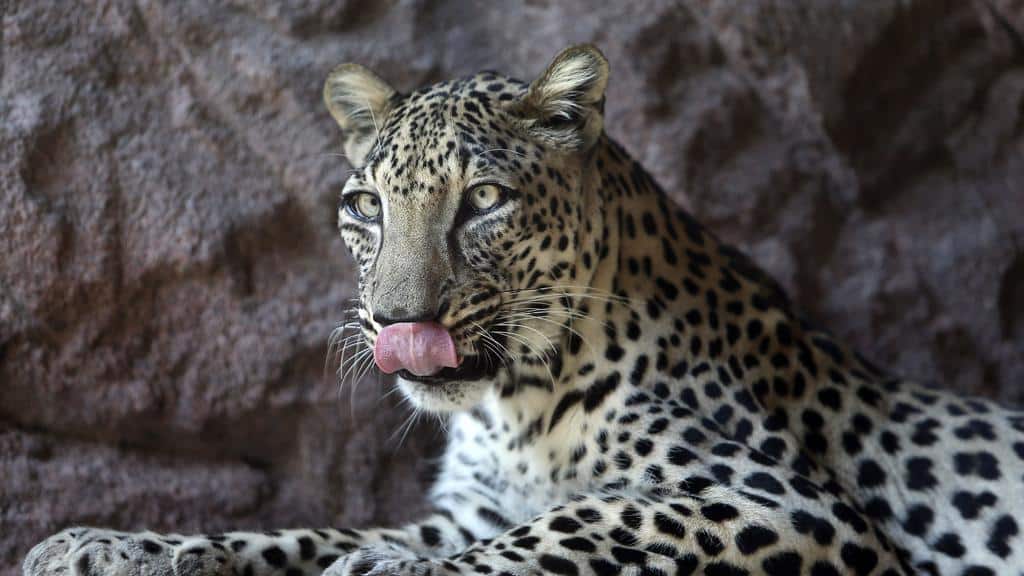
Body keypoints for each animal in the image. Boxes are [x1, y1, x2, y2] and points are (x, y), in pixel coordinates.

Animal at [24, 44, 1024, 576]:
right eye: (365, 207)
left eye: (483, 202)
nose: (398, 323)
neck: (518, 403)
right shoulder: (465, 510)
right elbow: (300, 532)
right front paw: (109, 545)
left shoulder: (788, 500)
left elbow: (581, 520)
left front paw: (389, 571)